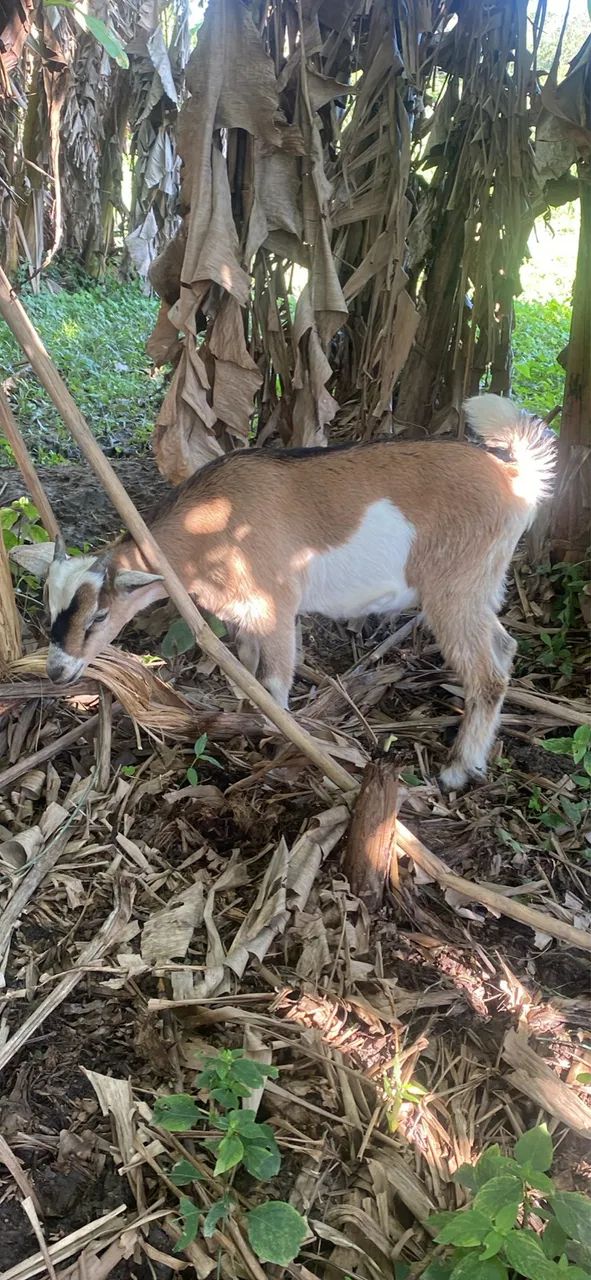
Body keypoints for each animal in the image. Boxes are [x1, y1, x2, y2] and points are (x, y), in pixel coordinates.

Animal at [16, 394, 555, 789]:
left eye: (97, 618)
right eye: (49, 610)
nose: (57, 672)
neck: (211, 525)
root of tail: (515, 479)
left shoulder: (274, 605)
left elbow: (274, 683)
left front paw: (277, 747)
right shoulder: (244, 614)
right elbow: (247, 670)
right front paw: (239, 720)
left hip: (454, 586)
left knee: (487, 674)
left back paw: (458, 770)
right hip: (481, 583)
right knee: (505, 646)